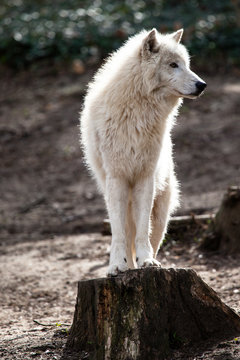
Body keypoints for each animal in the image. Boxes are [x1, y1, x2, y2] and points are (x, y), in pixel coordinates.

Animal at [80, 28, 206, 276]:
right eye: (173, 65)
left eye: (186, 64)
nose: (202, 84)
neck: (138, 112)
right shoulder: (117, 178)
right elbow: (118, 234)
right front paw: (115, 266)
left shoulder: (144, 177)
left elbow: (142, 231)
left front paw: (147, 261)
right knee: (126, 232)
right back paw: (128, 267)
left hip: (161, 214)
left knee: (151, 236)